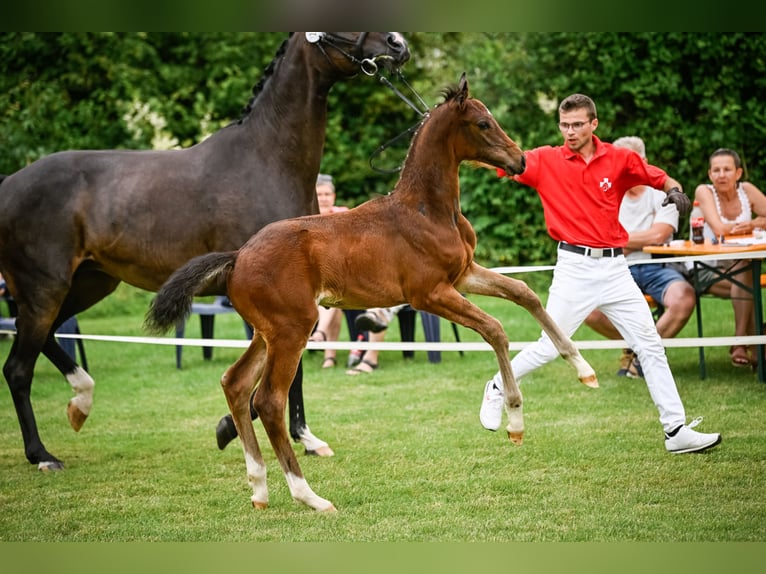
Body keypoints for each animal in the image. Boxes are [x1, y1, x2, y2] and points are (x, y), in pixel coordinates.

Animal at [0, 30, 412, 472]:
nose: (398, 44)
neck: (266, 160)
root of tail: (8, 185)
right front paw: (230, 428)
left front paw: (305, 437)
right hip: (45, 290)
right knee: (18, 368)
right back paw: (42, 455)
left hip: (87, 284)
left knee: (43, 340)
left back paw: (80, 403)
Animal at [146, 75, 600, 512]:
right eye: (483, 123)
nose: (519, 160)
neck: (427, 211)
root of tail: (238, 256)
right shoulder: (429, 294)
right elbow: (495, 330)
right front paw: (514, 422)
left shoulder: (464, 276)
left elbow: (525, 293)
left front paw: (583, 370)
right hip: (293, 330)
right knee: (270, 401)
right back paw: (309, 497)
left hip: (267, 332)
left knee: (236, 385)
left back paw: (259, 489)